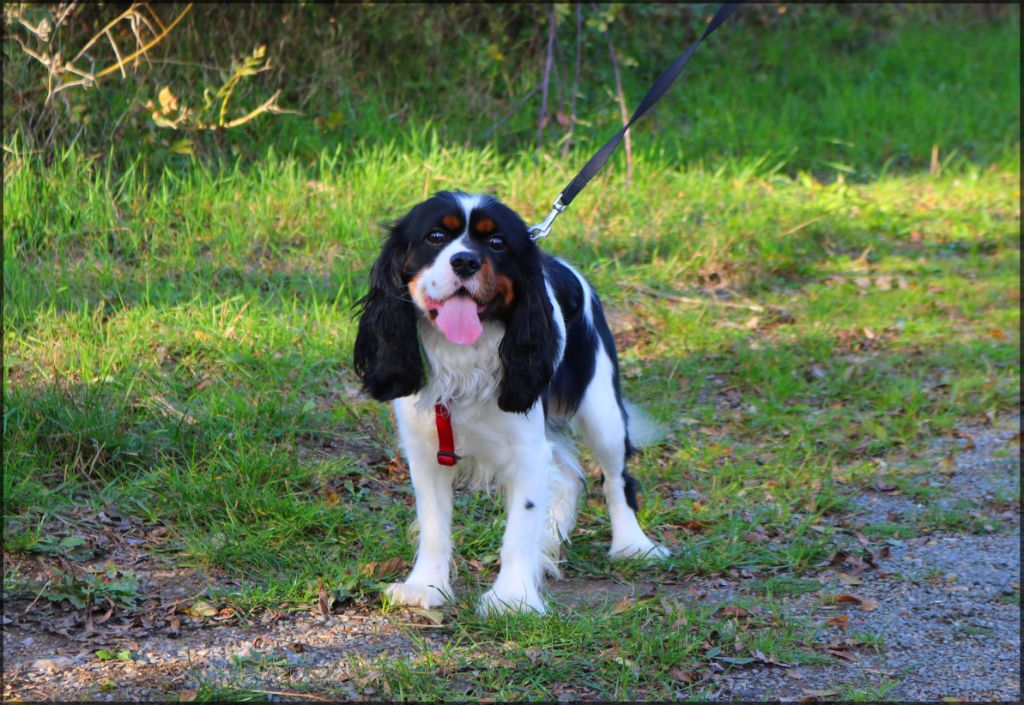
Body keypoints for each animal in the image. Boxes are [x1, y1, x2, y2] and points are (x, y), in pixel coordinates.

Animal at [356, 189, 667, 614]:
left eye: (496, 243)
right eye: (435, 237)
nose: (465, 261)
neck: (464, 353)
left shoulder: (527, 448)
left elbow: (520, 527)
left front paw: (512, 598)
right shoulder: (424, 449)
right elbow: (434, 524)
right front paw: (425, 586)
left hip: (602, 410)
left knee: (616, 479)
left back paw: (632, 545)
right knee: (568, 475)